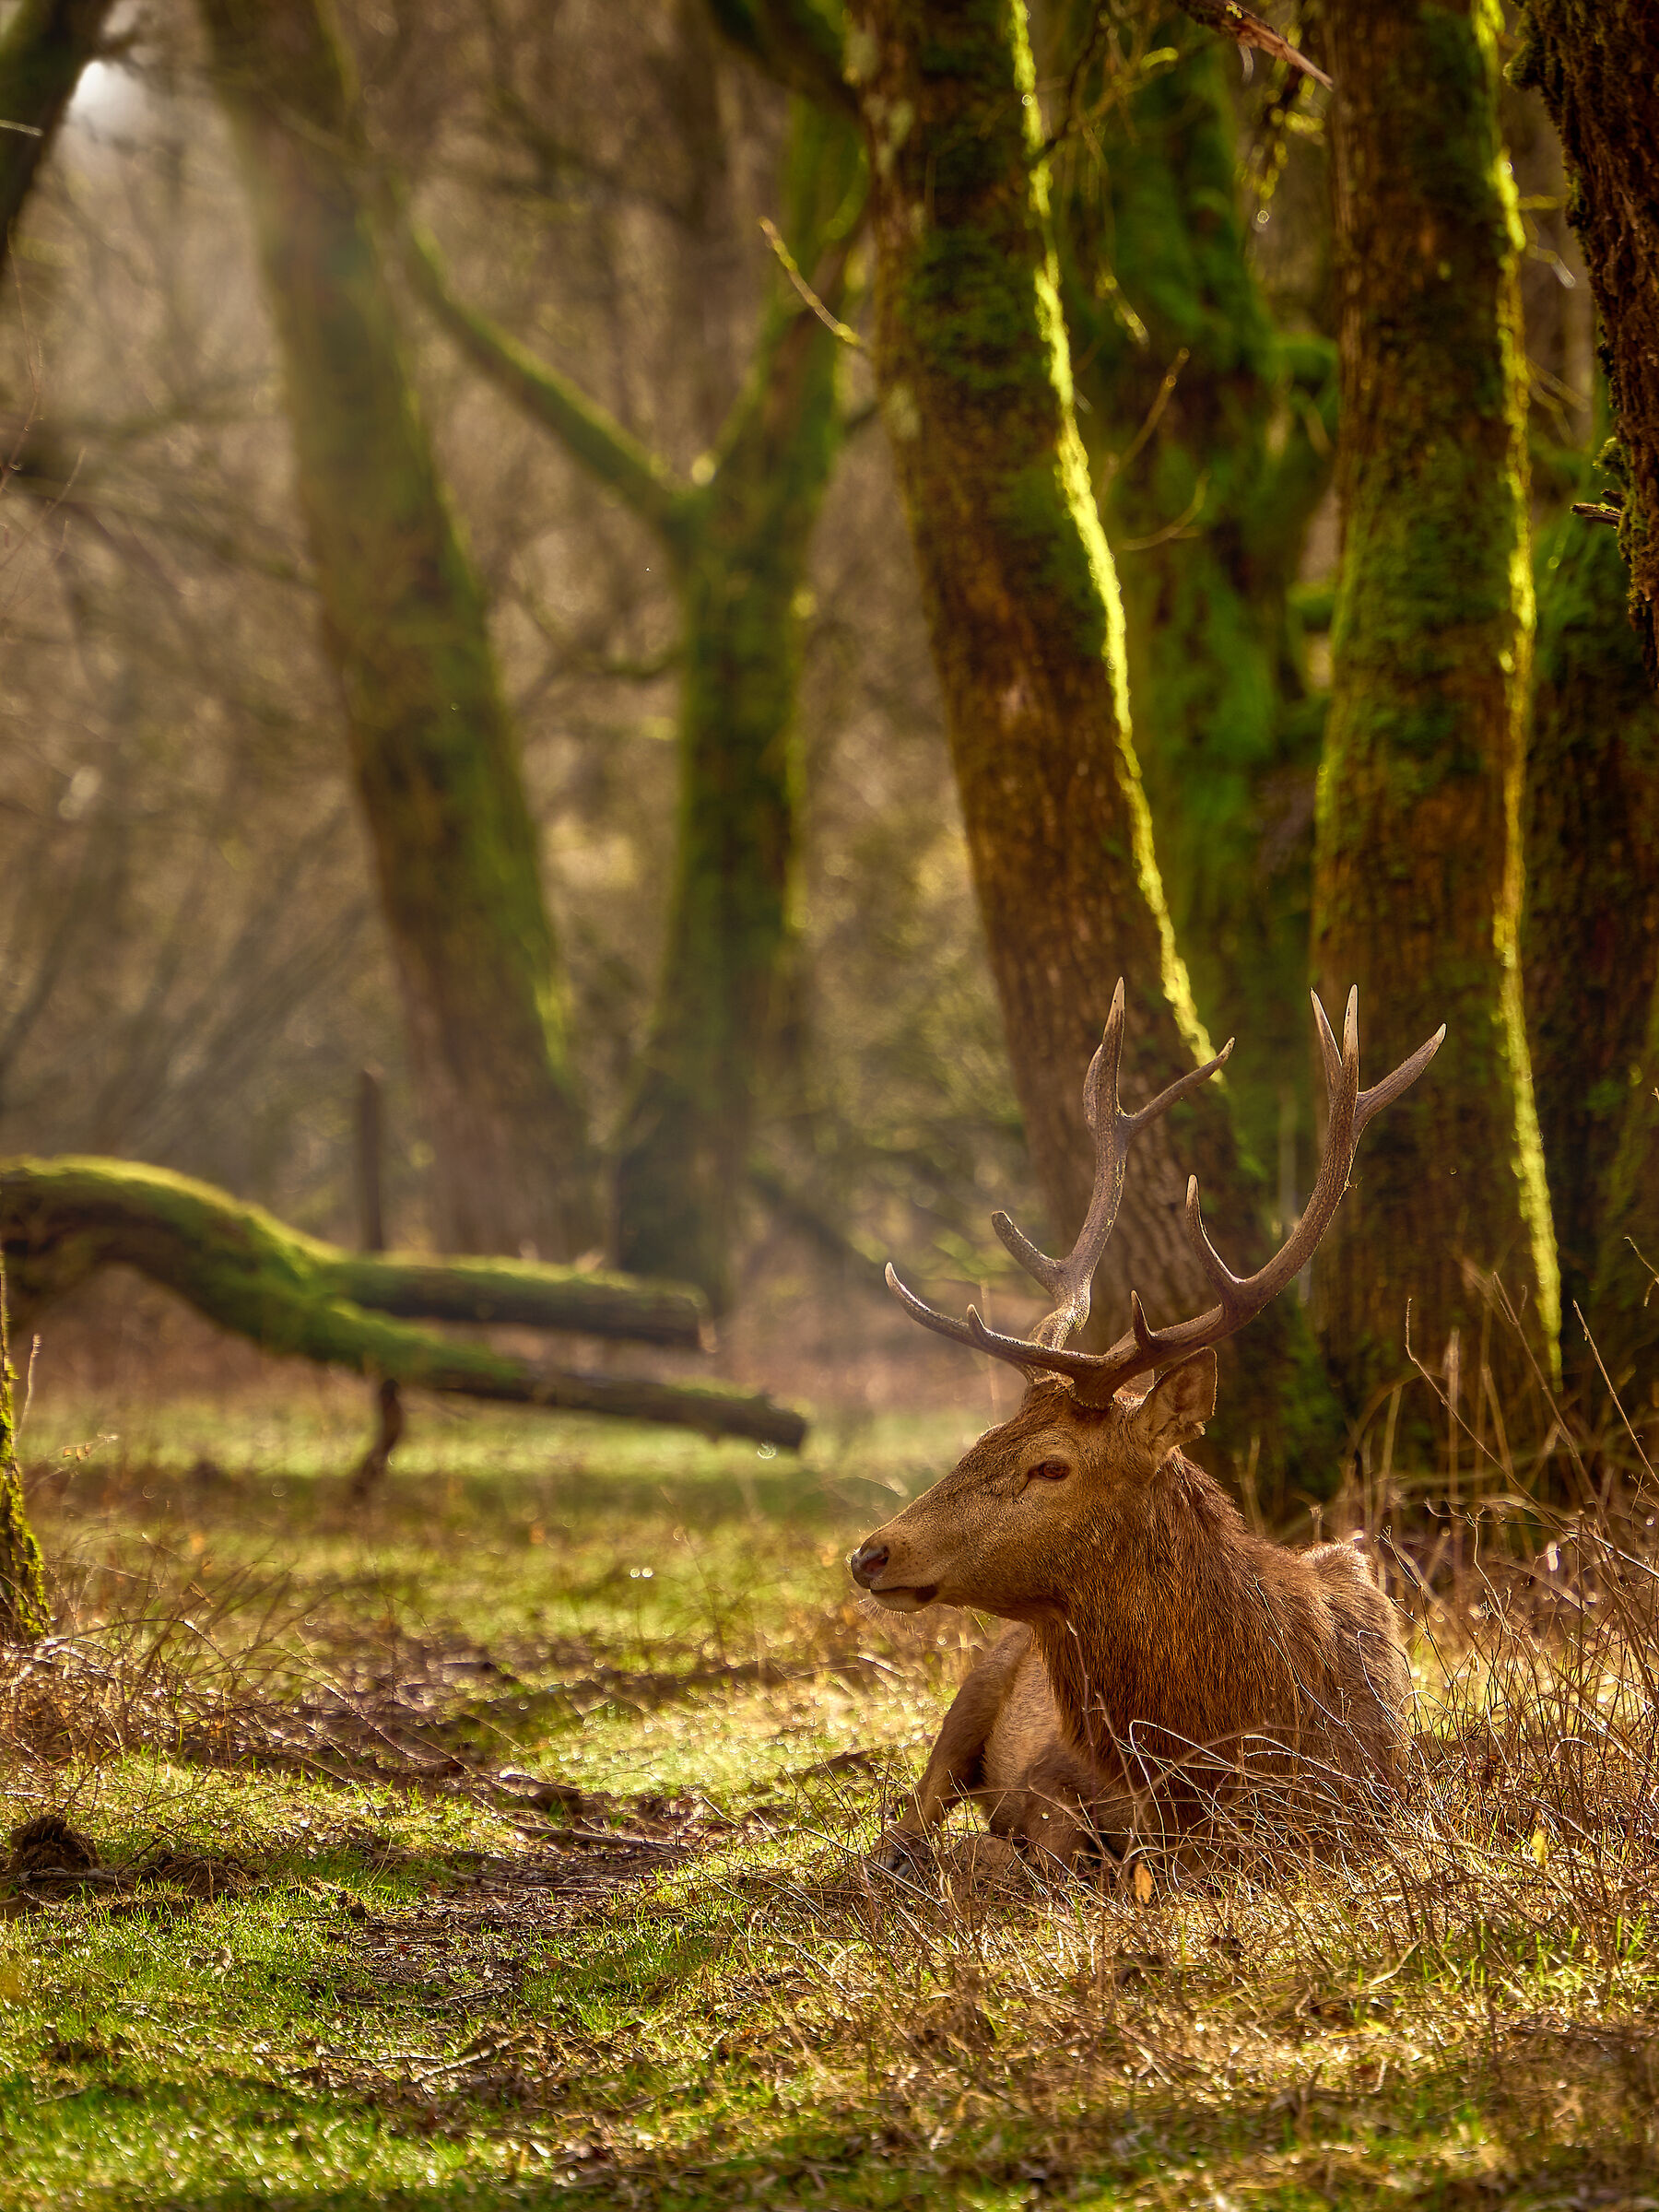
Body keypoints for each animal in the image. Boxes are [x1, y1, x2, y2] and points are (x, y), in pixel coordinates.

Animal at [849, 981, 1442, 1879]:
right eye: (981, 1440)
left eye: (1051, 1466)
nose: (872, 1553)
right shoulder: (1052, 1777)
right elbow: (1032, 1849)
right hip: (976, 1684)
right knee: (908, 1820)